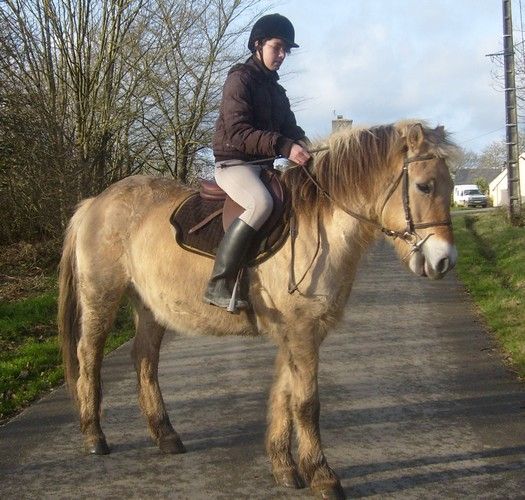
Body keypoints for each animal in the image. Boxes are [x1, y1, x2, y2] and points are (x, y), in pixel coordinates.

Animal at [58, 120, 458, 499]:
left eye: (451, 186)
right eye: (424, 186)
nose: (444, 261)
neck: (318, 226)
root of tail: (95, 202)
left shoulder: (298, 333)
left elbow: (283, 396)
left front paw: (284, 468)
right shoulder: (301, 331)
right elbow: (307, 403)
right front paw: (322, 475)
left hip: (150, 306)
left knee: (144, 359)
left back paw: (165, 435)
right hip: (101, 296)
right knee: (89, 356)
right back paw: (94, 437)